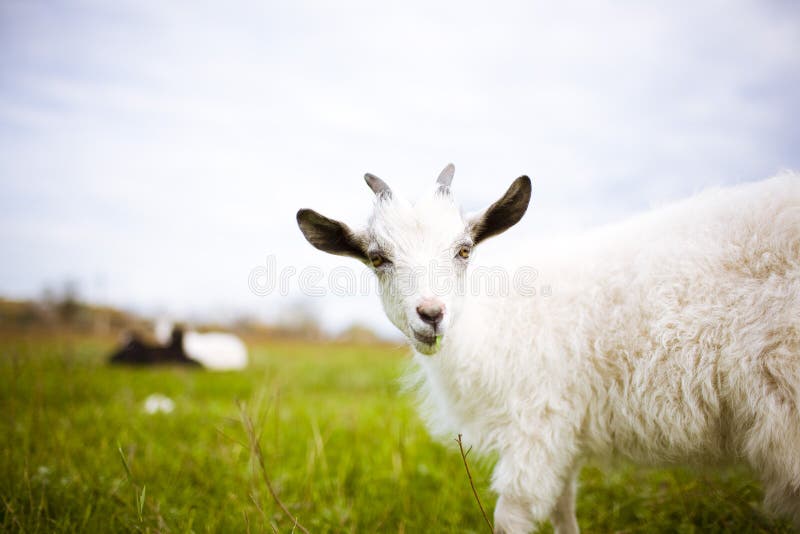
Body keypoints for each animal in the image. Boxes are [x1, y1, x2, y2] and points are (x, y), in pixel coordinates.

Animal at [296, 165, 800, 532]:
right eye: (377, 258)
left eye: (464, 250)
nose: (431, 314)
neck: (494, 329)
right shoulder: (565, 433)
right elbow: (563, 508)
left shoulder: (537, 423)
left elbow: (512, 517)